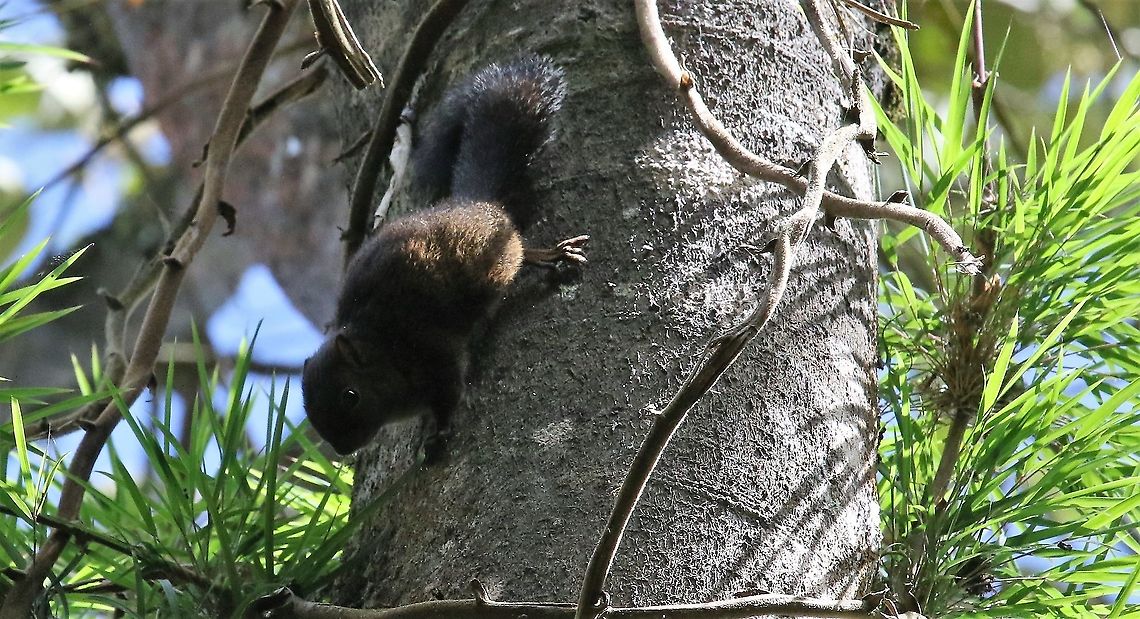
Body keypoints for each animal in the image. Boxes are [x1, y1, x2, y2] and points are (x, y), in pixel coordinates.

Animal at [301, 56, 584, 459]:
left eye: (350, 395)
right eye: (309, 408)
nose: (341, 449)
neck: (383, 348)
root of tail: (475, 201)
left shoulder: (435, 354)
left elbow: (450, 394)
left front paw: (440, 432)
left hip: (497, 260)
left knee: (520, 252)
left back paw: (550, 254)